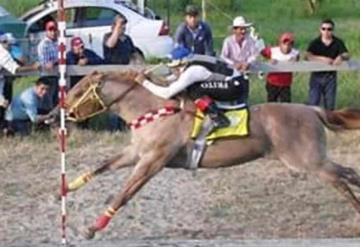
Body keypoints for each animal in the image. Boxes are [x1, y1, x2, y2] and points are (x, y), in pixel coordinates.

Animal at [61, 69, 360, 239]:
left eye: (78, 91)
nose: (58, 111)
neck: (154, 111)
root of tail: (313, 110)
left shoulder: (152, 162)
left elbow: (123, 194)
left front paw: (92, 228)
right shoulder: (136, 153)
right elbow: (102, 166)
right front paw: (65, 188)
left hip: (308, 162)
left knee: (344, 177)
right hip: (312, 161)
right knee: (348, 176)